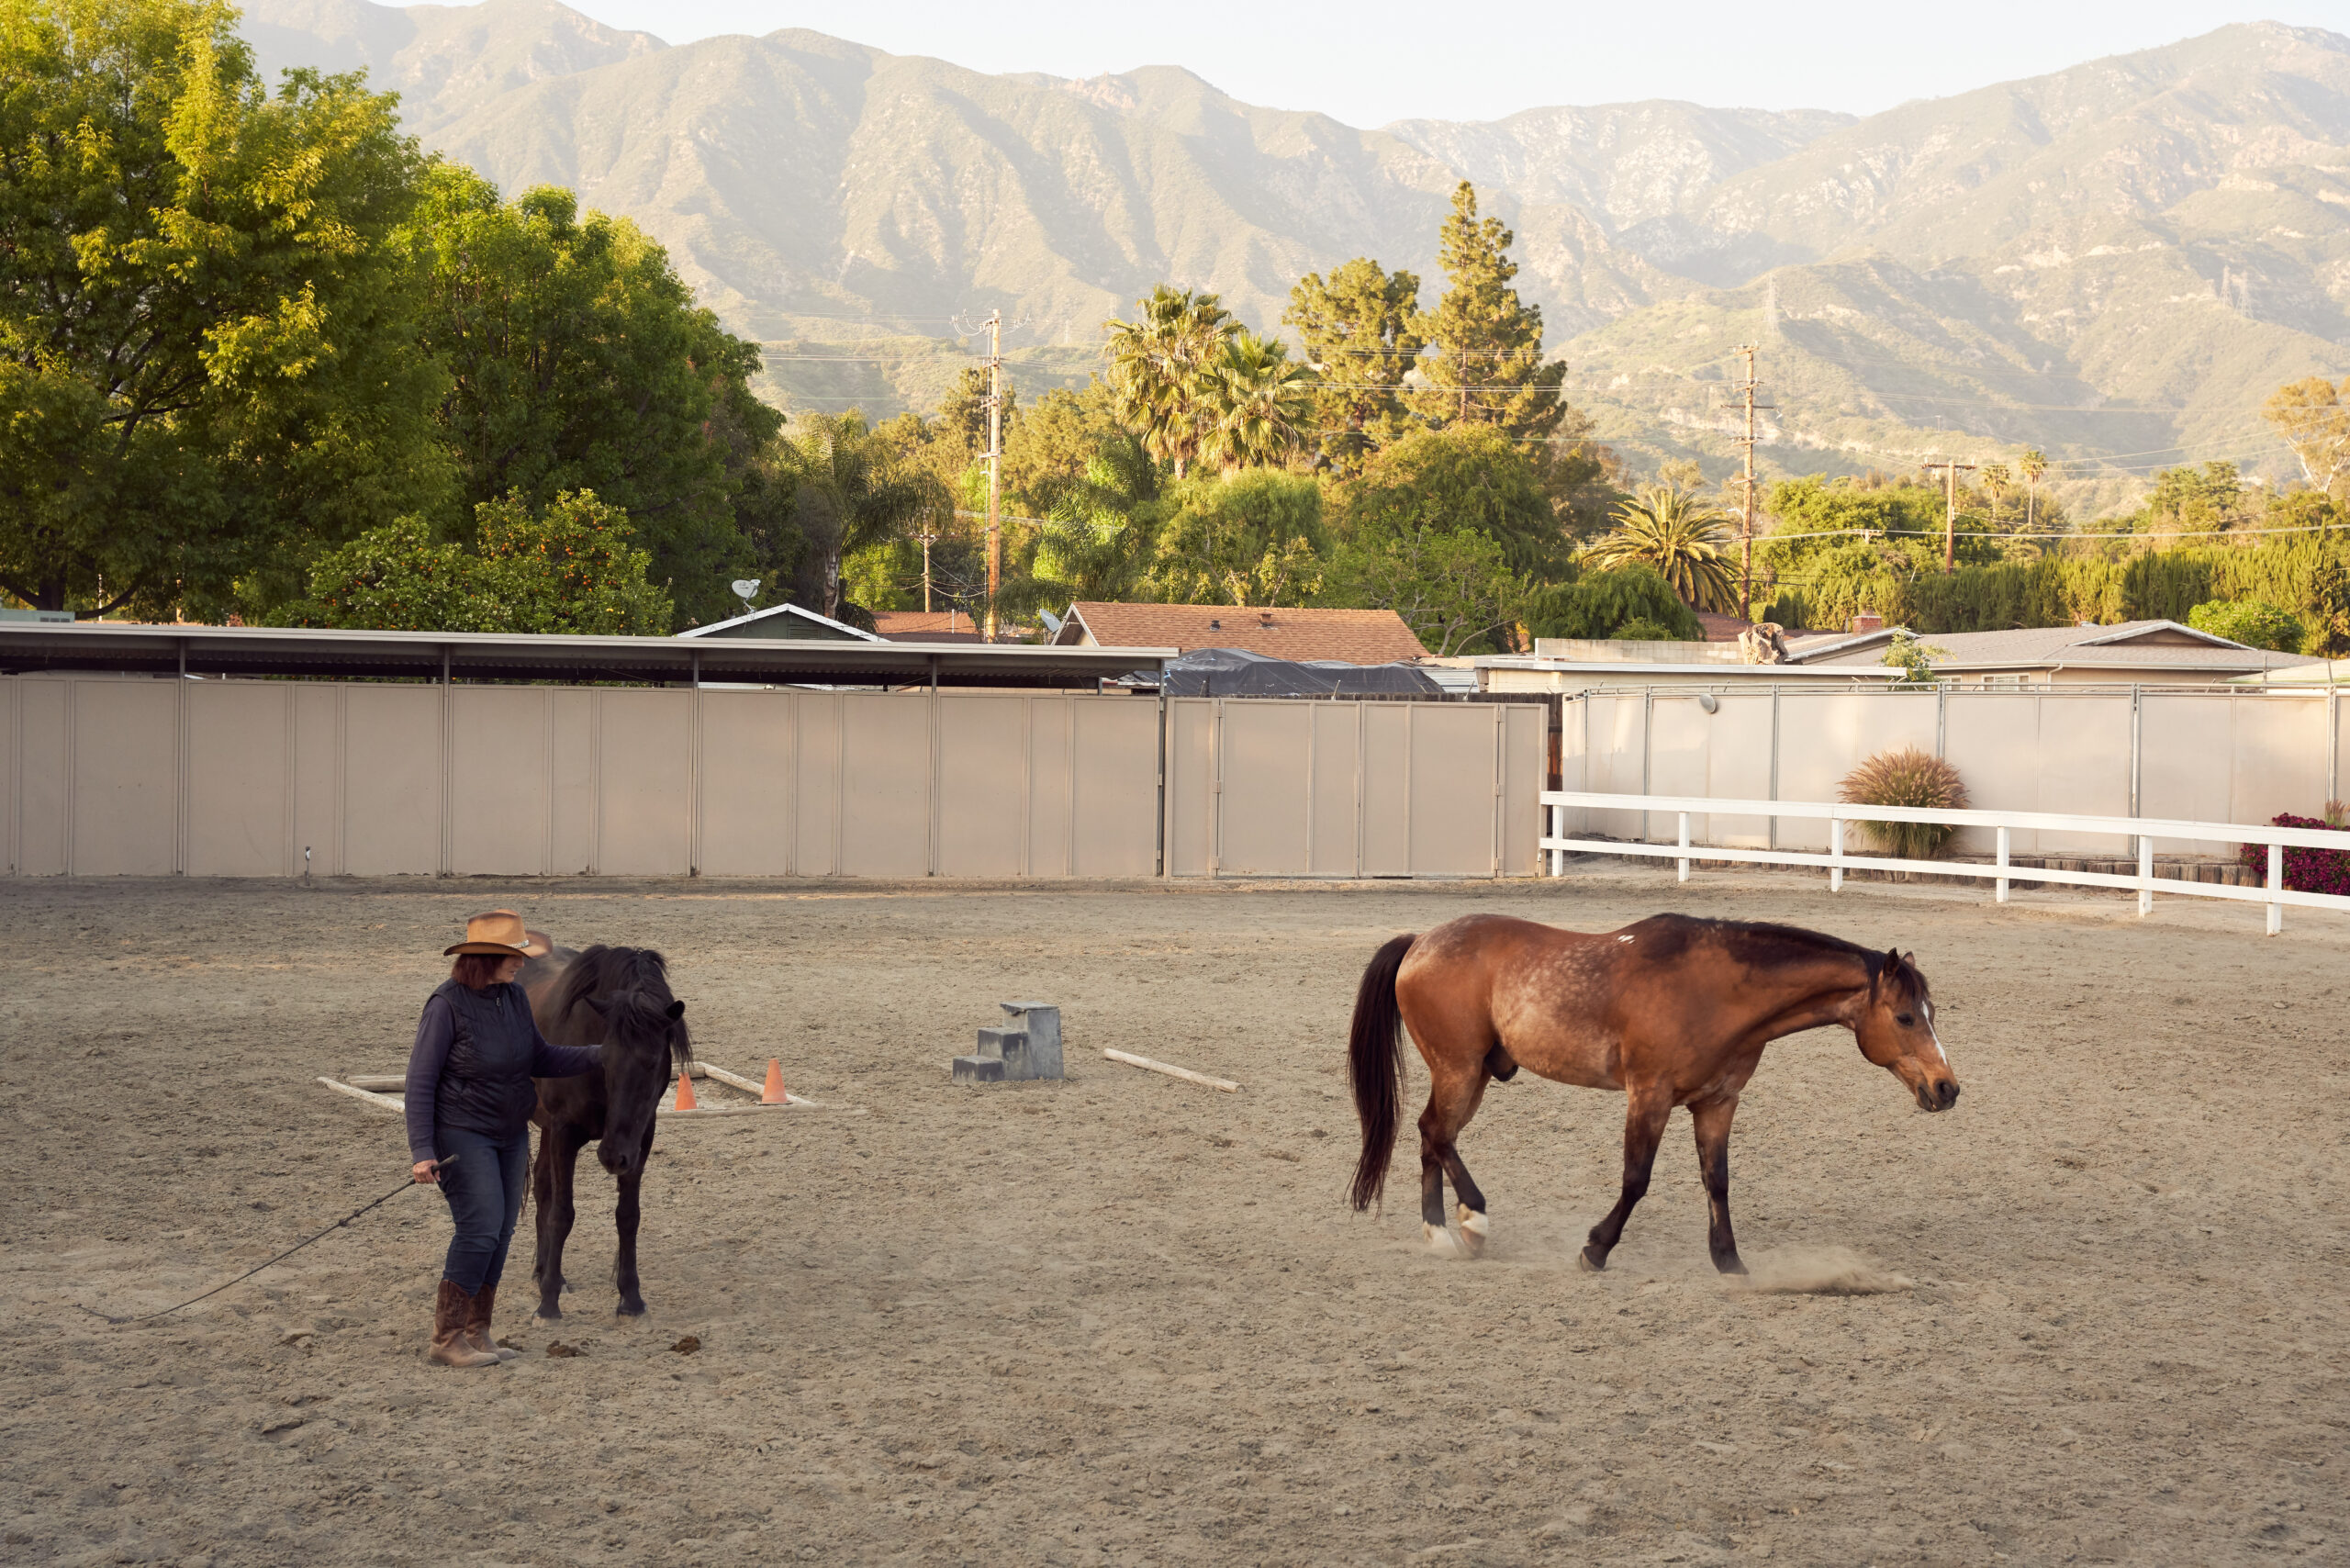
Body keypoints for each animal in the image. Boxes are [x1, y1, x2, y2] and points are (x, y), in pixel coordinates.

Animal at [521, 945, 686, 1326]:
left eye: (653, 1062)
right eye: (604, 1059)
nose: (612, 1156)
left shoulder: (640, 1140)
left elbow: (628, 1216)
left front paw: (631, 1298)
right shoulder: (564, 1134)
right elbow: (562, 1213)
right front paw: (548, 1305)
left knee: (542, 1184)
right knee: (544, 1192)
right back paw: (545, 1275)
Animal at [1353, 921, 1954, 1279]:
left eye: (1930, 1013)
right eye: (1905, 1017)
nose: (1946, 1087)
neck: (1716, 993)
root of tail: (1421, 941)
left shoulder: (1717, 1103)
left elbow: (1717, 1182)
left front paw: (1729, 1261)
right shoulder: (1650, 1096)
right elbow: (1635, 1180)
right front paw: (1596, 1248)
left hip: (1471, 1074)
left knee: (1435, 1137)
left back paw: (1439, 1233)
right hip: (1459, 1069)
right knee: (1435, 1133)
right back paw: (1471, 1220)